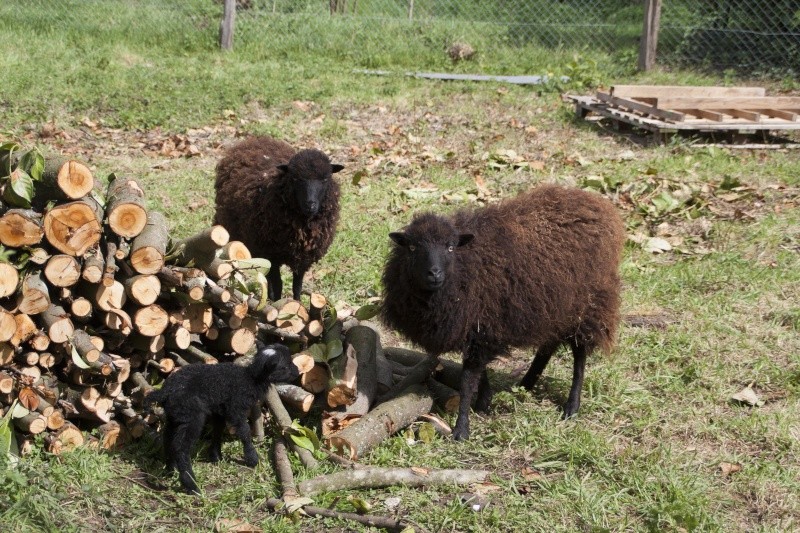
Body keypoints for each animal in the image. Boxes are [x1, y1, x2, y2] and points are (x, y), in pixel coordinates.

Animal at [142, 338, 298, 492]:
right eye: (285, 366)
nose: (297, 372)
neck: (251, 379)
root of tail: (165, 391)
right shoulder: (235, 408)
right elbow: (244, 431)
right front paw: (253, 459)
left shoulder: (220, 410)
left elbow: (218, 430)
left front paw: (216, 456)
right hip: (192, 416)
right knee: (181, 448)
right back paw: (191, 484)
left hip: (175, 415)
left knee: (168, 440)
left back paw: (170, 470)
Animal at [216, 135, 344, 302]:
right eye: (295, 178)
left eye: (325, 179)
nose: (310, 205)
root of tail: (255, 138)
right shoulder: (271, 253)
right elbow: (278, 285)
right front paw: (278, 304)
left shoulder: (303, 257)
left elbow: (297, 285)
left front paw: (297, 304)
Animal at [380, 183, 624, 440]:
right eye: (412, 247)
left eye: (450, 247)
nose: (434, 273)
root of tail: (596, 202)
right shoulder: (479, 327)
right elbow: (479, 373)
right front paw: (484, 402)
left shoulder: (482, 326)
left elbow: (468, 380)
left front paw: (462, 429)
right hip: (553, 307)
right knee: (548, 345)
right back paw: (526, 383)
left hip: (587, 305)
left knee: (579, 354)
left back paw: (572, 405)